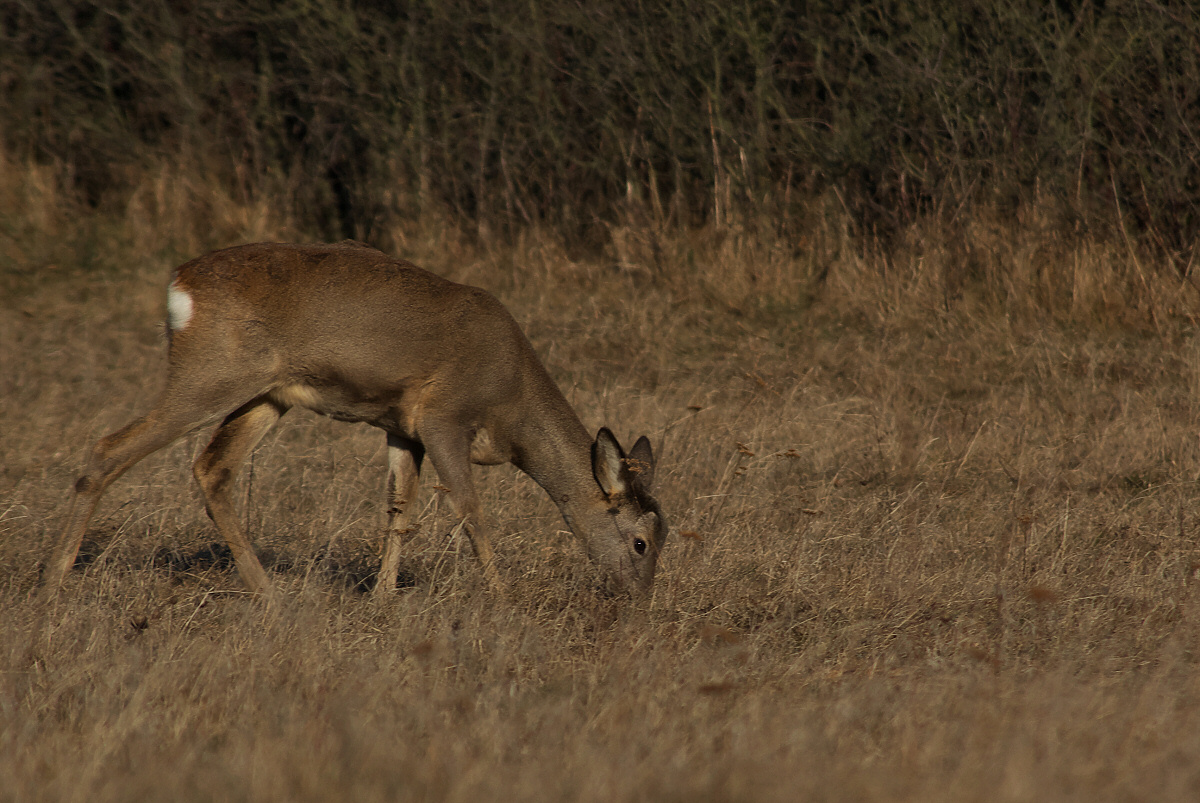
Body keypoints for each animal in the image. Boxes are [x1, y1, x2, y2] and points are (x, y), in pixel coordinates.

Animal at [44, 241, 667, 597]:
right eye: (641, 542)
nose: (637, 600)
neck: (511, 408)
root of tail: (180, 285)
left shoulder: (402, 427)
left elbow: (399, 510)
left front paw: (384, 596)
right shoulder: (445, 417)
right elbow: (470, 510)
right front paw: (501, 599)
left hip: (266, 394)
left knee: (212, 469)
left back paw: (269, 595)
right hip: (210, 373)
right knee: (108, 449)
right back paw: (53, 584)